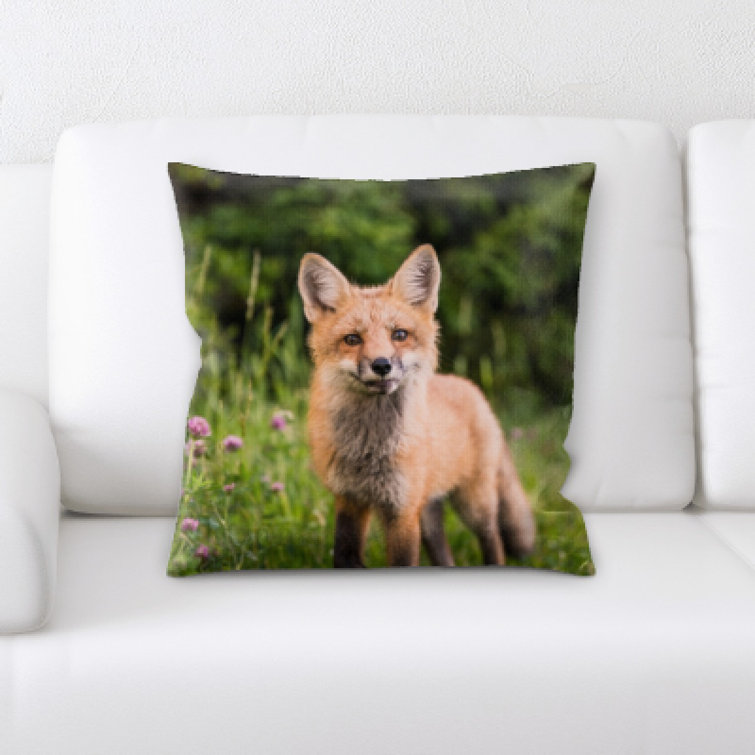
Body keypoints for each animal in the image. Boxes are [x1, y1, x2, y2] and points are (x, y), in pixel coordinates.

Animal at [298, 244, 536, 568]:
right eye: (352, 339)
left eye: (399, 334)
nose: (381, 365)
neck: (369, 448)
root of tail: (470, 387)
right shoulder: (349, 500)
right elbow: (345, 555)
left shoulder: (402, 511)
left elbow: (403, 561)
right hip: (429, 514)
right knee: (445, 556)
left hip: (473, 503)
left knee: (494, 541)